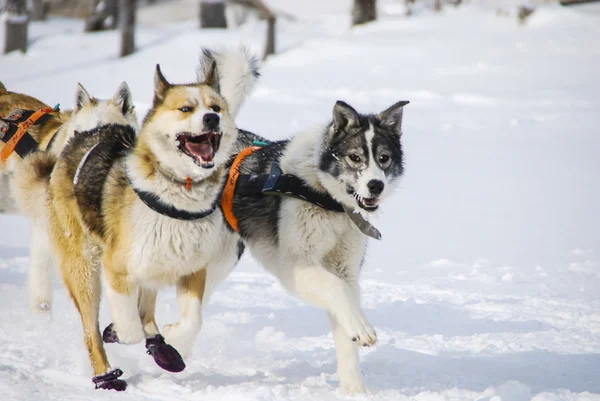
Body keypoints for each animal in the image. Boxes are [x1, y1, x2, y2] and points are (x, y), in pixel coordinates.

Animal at [24, 48, 258, 390]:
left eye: (215, 107)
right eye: (186, 108)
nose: (212, 118)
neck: (176, 194)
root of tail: (88, 136)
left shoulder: (193, 270)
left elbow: (192, 320)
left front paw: (172, 338)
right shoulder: (117, 269)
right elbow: (129, 328)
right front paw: (119, 332)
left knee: (147, 307)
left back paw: (160, 346)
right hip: (85, 267)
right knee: (91, 330)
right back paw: (105, 374)